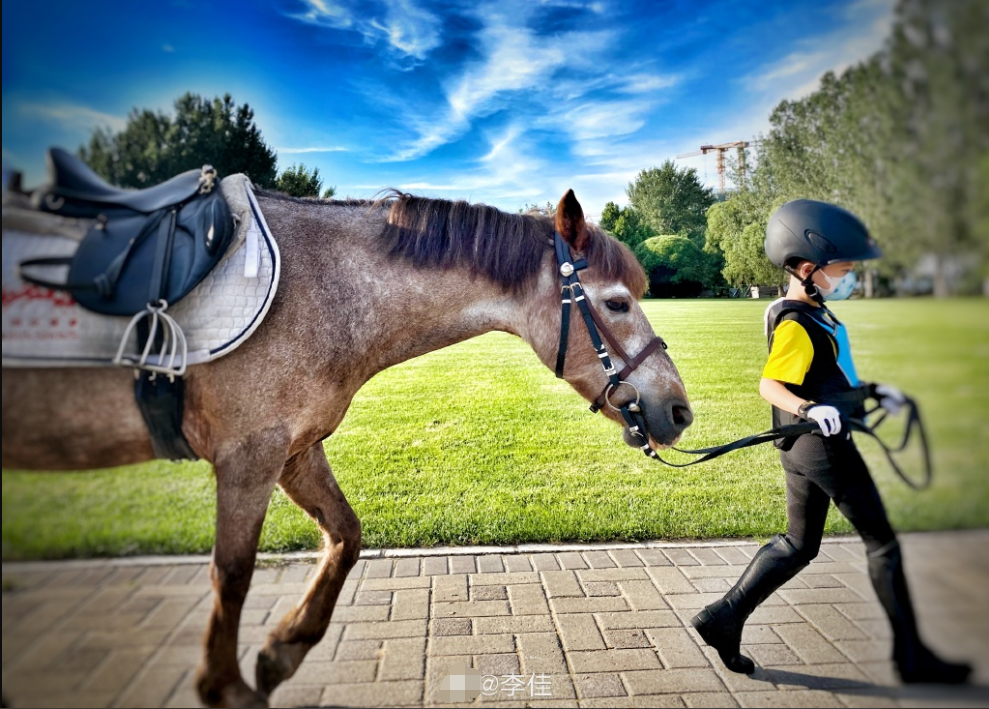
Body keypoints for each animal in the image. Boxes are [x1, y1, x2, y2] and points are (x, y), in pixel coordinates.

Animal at [1, 187, 693, 708]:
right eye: (617, 302)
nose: (679, 410)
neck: (325, 288)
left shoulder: (295, 452)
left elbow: (345, 536)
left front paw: (282, 650)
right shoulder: (249, 457)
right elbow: (233, 573)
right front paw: (225, 685)